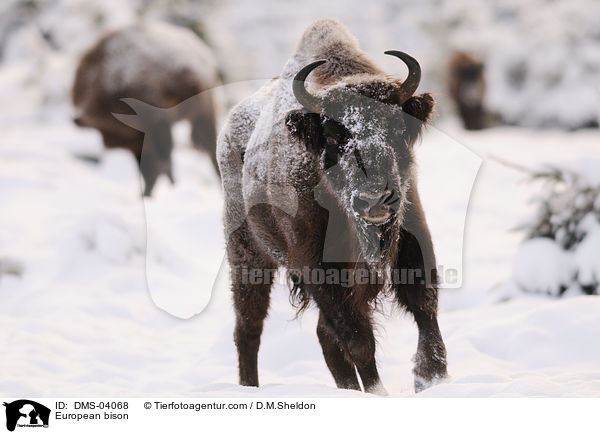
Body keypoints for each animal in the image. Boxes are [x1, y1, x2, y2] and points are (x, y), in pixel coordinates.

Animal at [72, 21, 219, 195]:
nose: (110, 144)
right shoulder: (140, 140)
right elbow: (149, 169)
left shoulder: (158, 124)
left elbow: (164, 162)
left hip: (204, 115)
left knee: (211, 148)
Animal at [218, 18, 448, 396]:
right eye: (334, 136)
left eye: (396, 128)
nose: (375, 199)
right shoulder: (319, 272)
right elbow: (358, 340)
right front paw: (378, 392)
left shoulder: (412, 243)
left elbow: (424, 308)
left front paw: (432, 379)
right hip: (248, 256)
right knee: (248, 329)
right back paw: (248, 387)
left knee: (322, 338)